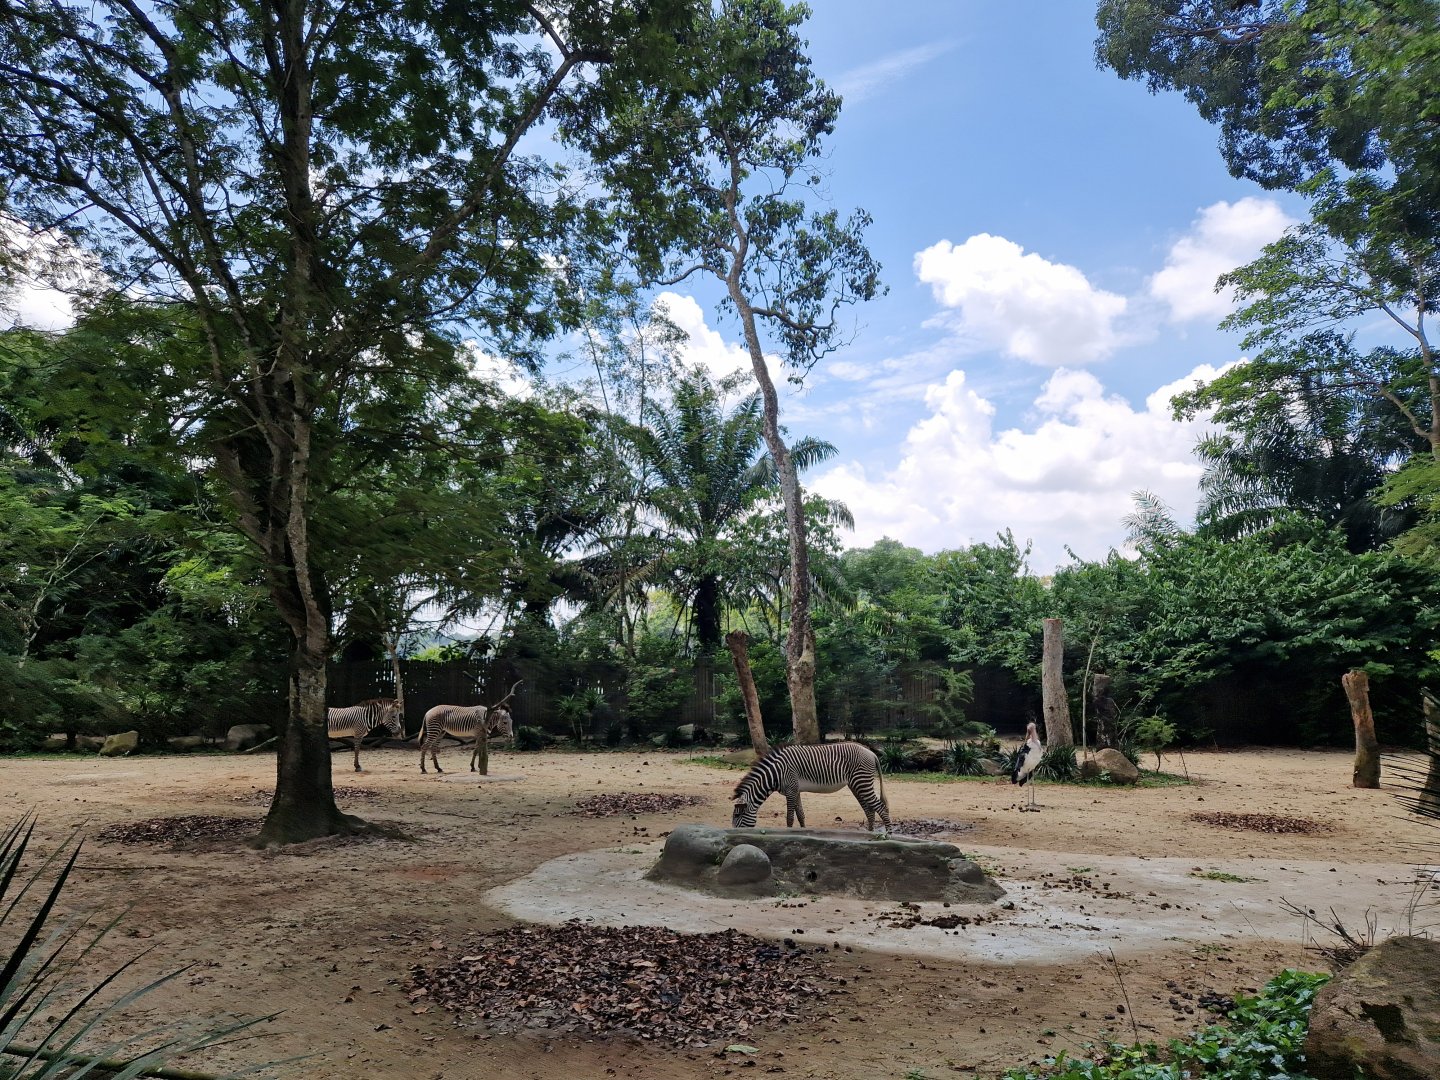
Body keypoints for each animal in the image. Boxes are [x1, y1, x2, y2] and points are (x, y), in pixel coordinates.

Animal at [731, 741, 890, 833]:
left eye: (737, 815)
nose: (734, 833)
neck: (776, 773)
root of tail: (871, 753)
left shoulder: (791, 790)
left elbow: (790, 818)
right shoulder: (795, 791)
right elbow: (800, 815)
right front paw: (803, 833)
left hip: (862, 782)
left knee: (881, 807)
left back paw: (888, 835)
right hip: (856, 784)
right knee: (869, 809)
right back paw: (869, 835)